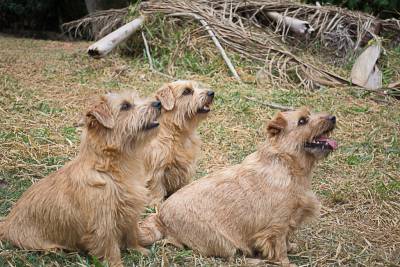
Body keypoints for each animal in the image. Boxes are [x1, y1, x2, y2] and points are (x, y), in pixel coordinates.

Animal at [139, 107, 336, 267]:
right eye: (303, 120)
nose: (333, 117)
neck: (287, 164)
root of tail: (161, 218)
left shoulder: (289, 221)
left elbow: (287, 240)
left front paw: (291, 247)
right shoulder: (276, 226)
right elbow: (279, 248)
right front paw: (286, 262)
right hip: (224, 243)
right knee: (231, 257)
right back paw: (255, 260)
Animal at [143, 79, 214, 207]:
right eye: (186, 91)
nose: (212, 93)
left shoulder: (185, 167)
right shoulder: (156, 171)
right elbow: (157, 190)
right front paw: (157, 205)